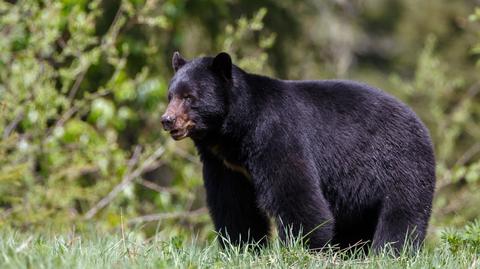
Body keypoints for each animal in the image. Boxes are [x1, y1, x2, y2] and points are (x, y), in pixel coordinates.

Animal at [160, 51, 436, 252]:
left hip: (400, 164)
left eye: (189, 97)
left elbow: (294, 191)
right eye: (170, 95)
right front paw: (243, 246)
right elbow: (233, 203)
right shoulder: (225, 164)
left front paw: (304, 245)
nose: (167, 120)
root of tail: (421, 125)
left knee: (402, 213)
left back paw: (390, 250)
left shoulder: (276, 136)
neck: (233, 134)